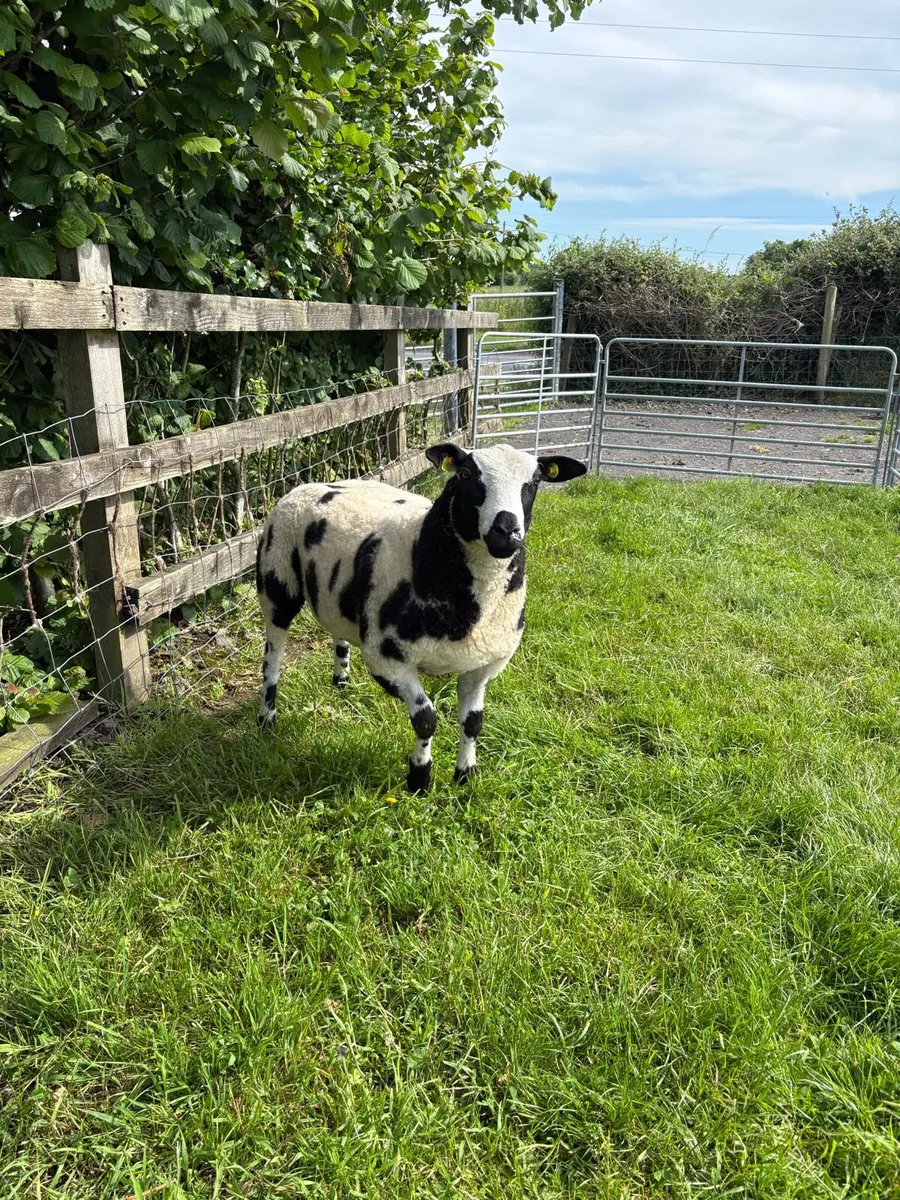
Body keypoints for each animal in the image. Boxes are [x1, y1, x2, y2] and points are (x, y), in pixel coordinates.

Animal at [255, 442, 587, 792]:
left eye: (535, 481)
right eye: (465, 474)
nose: (506, 532)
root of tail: (309, 484)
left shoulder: (484, 665)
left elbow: (473, 723)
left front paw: (465, 776)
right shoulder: (388, 661)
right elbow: (426, 720)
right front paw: (419, 778)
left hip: (335, 594)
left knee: (337, 630)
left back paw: (341, 680)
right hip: (276, 583)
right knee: (272, 658)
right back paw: (267, 719)